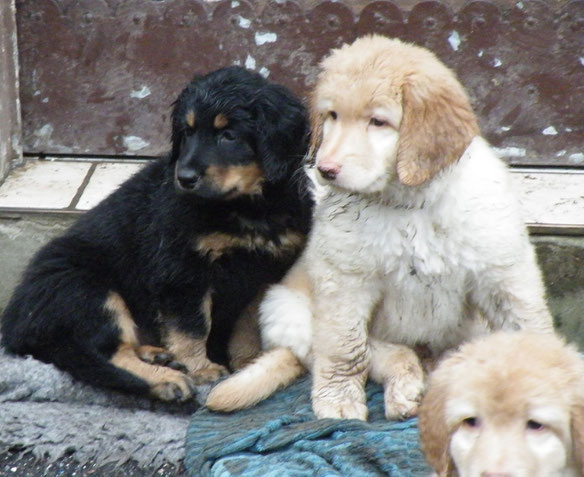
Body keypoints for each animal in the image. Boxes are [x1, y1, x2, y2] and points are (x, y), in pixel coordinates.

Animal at [1, 66, 314, 402]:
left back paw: (158, 355)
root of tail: (14, 326)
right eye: (187, 132)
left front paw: (247, 362)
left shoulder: (265, 271)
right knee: (104, 353)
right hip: (86, 289)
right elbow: (192, 326)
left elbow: (246, 323)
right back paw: (167, 380)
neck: (247, 207)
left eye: (229, 135)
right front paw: (202, 368)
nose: (184, 178)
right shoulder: (183, 272)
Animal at [208, 34, 556, 420]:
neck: (410, 204)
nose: (324, 170)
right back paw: (406, 388)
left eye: (377, 122)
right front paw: (338, 401)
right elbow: (346, 349)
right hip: (291, 313)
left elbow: (528, 322)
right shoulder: (345, 280)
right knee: (379, 354)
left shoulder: (501, 272)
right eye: (332, 116)